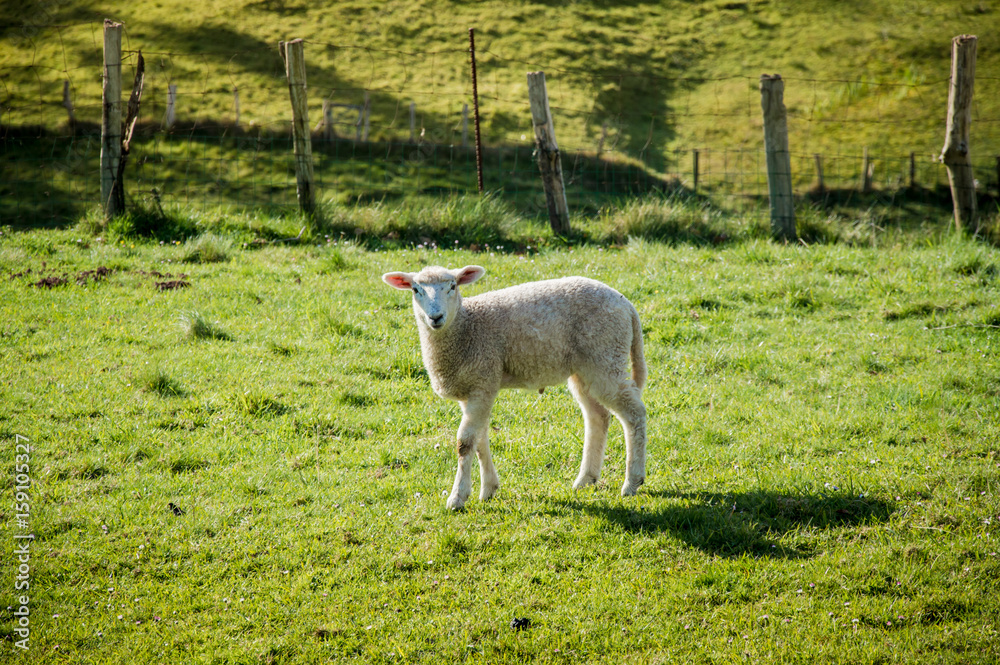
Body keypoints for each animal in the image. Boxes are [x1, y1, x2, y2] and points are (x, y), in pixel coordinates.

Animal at [382, 265, 648, 510]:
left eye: (453, 286)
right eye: (416, 290)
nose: (435, 317)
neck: (466, 327)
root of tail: (625, 304)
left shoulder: (483, 381)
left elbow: (464, 442)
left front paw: (458, 497)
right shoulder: (473, 387)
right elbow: (480, 440)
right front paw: (488, 489)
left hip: (606, 356)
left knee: (634, 414)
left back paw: (632, 482)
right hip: (585, 368)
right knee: (598, 416)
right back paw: (585, 479)